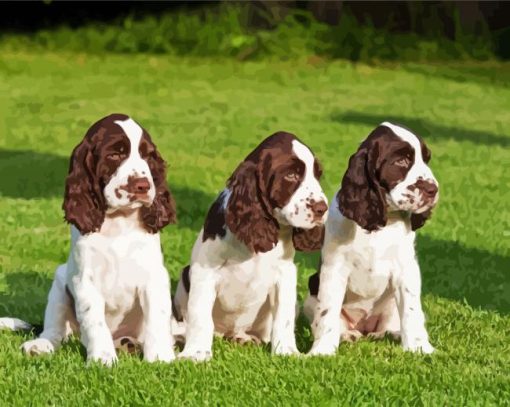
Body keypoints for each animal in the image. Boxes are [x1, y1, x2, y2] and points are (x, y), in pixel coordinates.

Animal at [11, 114, 177, 366]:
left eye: (148, 156)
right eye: (115, 155)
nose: (143, 186)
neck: (119, 223)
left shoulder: (154, 275)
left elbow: (157, 317)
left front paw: (160, 357)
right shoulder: (84, 279)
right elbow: (94, 319)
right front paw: (102, 358)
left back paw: (130, 344)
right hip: (60, 281)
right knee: (55, 331)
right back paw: (40, 345)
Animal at [173, 132, 328, 362]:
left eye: (317, 175)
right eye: (291, 175)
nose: (322, 209)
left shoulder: (285, 273)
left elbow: (284, 316)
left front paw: (287, 351)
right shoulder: (204, 270)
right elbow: (200, 315)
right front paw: (196, 353)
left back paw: (245, 338)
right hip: (185, 278)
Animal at [302, 122, 438, 356]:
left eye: (426, 159)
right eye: (401, 161)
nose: (433, 189)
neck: (381, 222)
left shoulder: (406, 267)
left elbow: (412, 310)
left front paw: (420, 347)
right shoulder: (334, 268)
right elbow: (328, 311)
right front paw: (322, 350)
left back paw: (391, 333)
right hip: (311, 294)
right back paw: (347, 335)